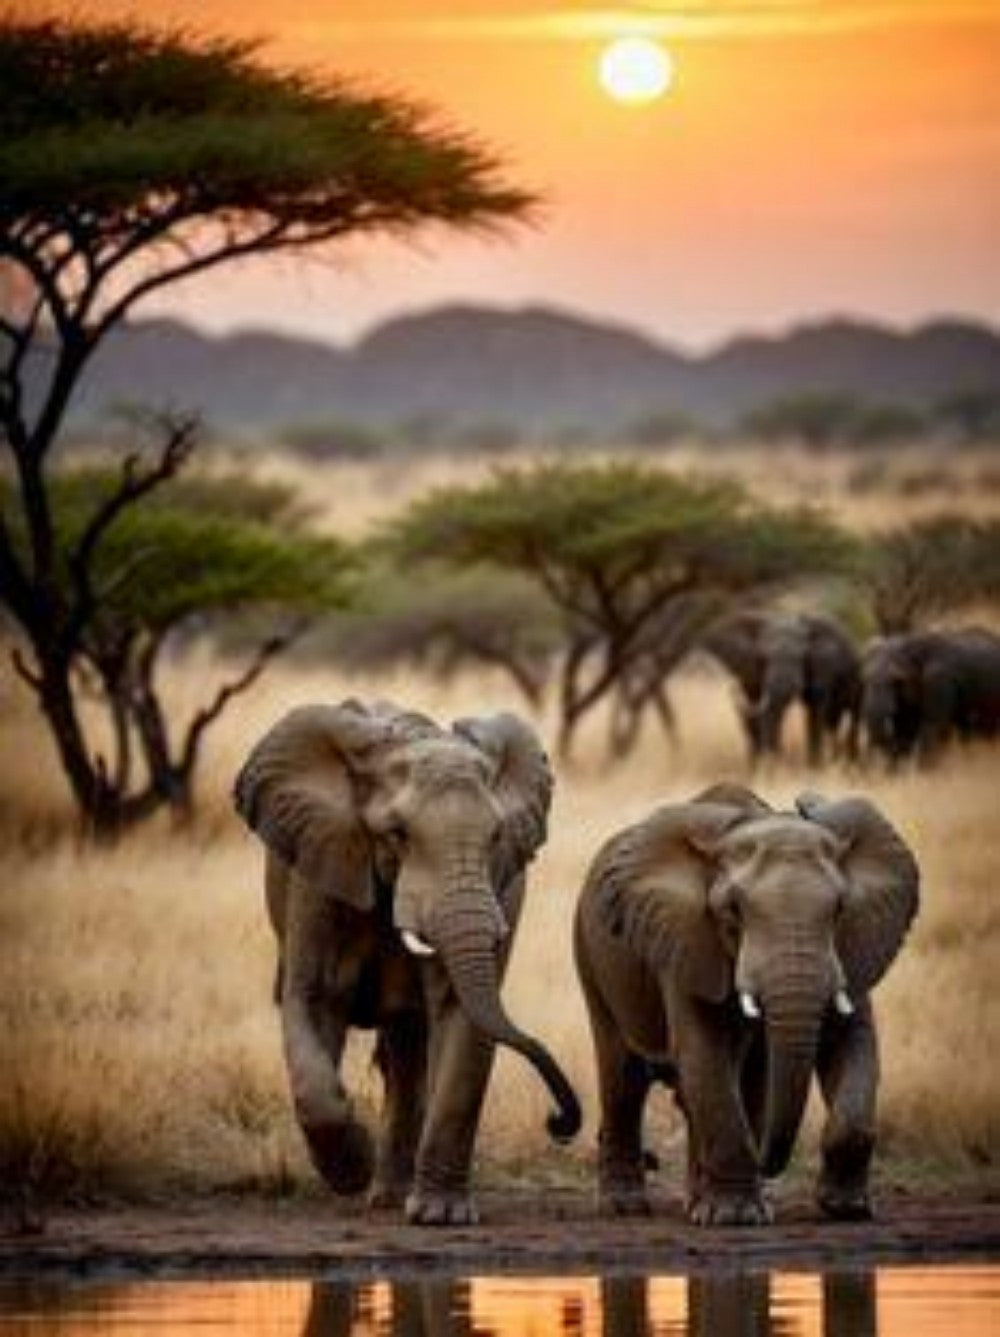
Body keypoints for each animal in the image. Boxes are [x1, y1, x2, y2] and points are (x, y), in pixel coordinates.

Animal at [233, 698, 580, 1225]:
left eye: (496, 835)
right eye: (397, 833)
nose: (558, 1122)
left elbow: (461, 1016)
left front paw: (441, 1215)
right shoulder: (318, 875)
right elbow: (311, 1003)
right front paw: (351, 1167)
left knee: (407, 1053)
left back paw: (392, 1198)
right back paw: (375, 1191)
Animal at [573, 782, 918, 1226]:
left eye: (840, 908)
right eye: (733, 910)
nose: (768, 1161)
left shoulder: (854, 946)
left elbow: (854, 1043)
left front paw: (848, 1210)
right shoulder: (685, 940)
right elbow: (703, 1053)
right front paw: (734, 1217)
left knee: (746, 1081)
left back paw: (703, 1202)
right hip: (589, 953)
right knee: (623, 1079)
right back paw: (626, 1208)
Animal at [702, 611, 861, 766]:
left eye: (799, 657)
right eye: (763, 658)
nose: (779, 755)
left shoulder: (823, 667)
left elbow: (815, 710)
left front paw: (814, 768)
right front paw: (757, 768)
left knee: (846, 717)